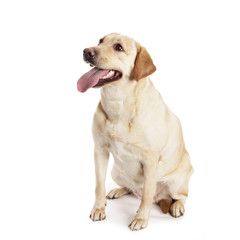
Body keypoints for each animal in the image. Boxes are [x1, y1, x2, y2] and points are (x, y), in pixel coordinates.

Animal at [77, 33, 193, 231]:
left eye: (119, 47)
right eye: (100, 41)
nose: (87, 51)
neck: (118, 104)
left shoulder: (150, 160)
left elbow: (147, 194)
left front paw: (141, 218)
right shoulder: (99, 150)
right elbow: (99, 185)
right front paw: (99, 208)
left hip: (177, 181)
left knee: (179, 195)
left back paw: (177, 206)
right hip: (116, 171)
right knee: (131, 189)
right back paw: (118, 190)